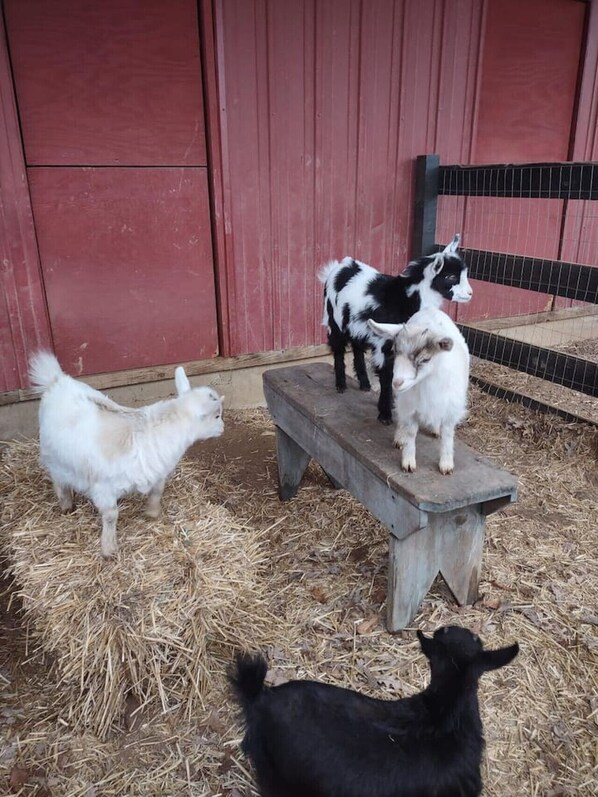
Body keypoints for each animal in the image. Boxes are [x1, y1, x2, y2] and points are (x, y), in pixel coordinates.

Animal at [29, 351, 224, 558]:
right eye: (216, 415)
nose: (223, 428)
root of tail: (56, 380)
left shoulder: (156, 471)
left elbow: (157, 491)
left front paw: (152, 513)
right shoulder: (103, 487)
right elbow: (110, 515)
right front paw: (109, 549)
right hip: (53, 456)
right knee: (59, 480)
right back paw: (66, 504)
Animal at [319, 234, 472, 424]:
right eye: (450, 276)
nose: (470, 293)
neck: (406, 298)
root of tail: (340, 266)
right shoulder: (385, 342)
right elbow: (387, 375)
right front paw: (385, 414)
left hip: (355, 323)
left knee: (357, 347)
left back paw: (364, 383)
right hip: (333, 318)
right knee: (338, 348)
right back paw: (340, 385)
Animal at [368, 306, 469, 474]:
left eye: (425, 359)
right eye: (395, 352)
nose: (397, 383)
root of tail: (431, 309)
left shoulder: (450, 408)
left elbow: (448, 435)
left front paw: (446, 465)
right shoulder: (410, 407)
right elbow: (410, 432)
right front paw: (408, 462)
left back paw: (435, 430)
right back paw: (399, 437)